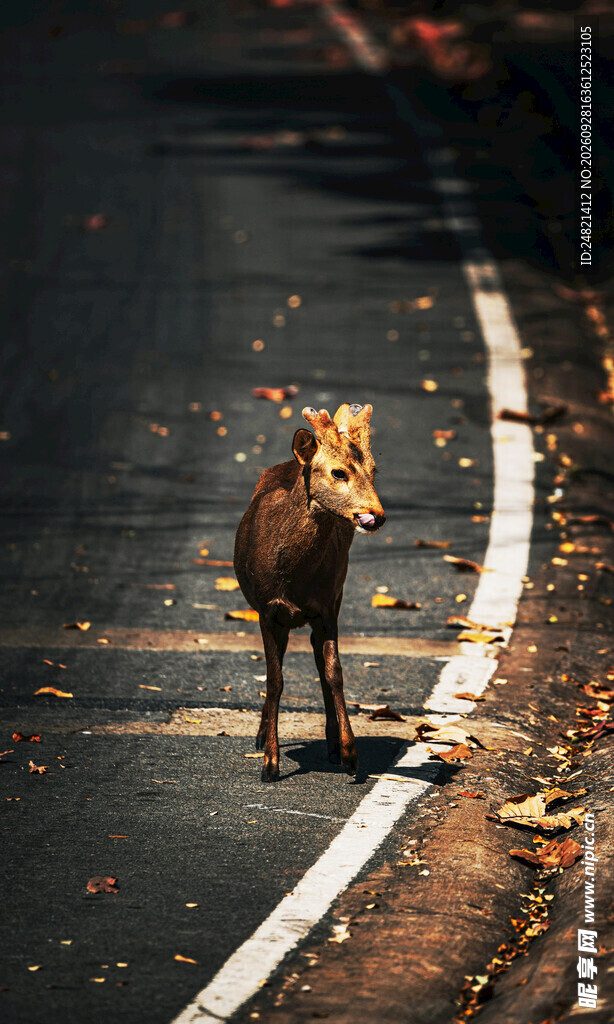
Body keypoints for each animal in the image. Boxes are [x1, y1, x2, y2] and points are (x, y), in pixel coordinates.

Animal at [234, 402, 385, 782]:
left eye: (374, 471)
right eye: (338, 472)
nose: (376, 515)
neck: (292, 579)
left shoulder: (327, 606)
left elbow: (334, 673)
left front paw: (350, 754)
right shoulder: (267, 609)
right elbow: (275, 679)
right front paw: (270, 764)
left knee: (319, 661)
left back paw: (331, 744)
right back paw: (261, 735)